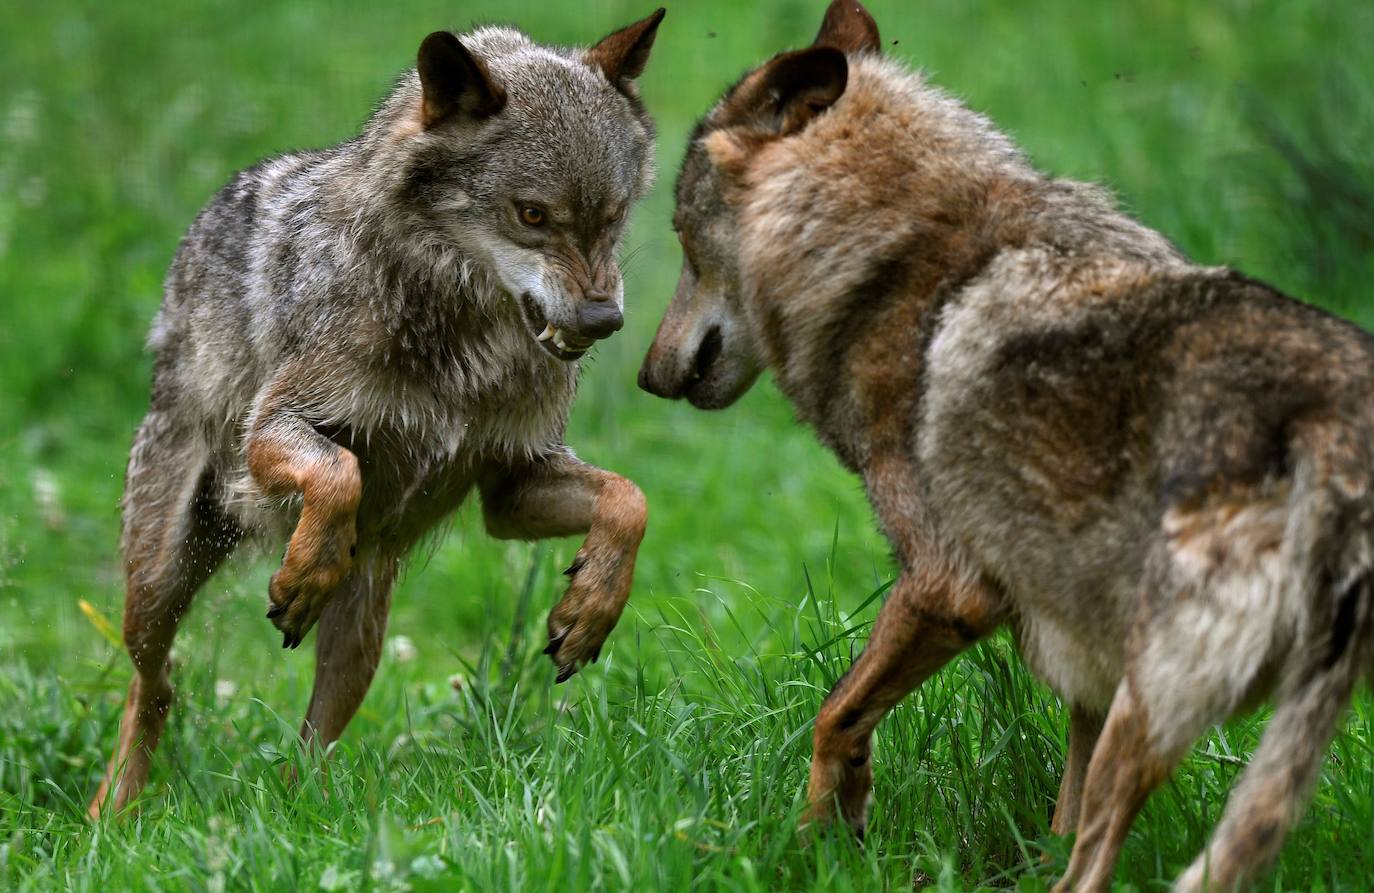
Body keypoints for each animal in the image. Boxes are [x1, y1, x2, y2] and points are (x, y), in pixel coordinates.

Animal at [87, 13, 665, 818]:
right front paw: (303, 571)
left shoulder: (512, 484)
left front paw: (590, 608)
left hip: (362, 628)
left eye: (612, 217)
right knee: (156, 684)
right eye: (531, 215)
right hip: (157, 582)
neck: (468, 347)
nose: (604, 319)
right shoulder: (272, 429)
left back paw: (300, 815)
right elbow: (339, 472)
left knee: (308, 743)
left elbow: (630, 500)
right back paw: (113, 812)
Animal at [640, 3, 1374, 884]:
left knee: (1097, 865)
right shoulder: (1084, 660)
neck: (893, 259)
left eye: (682, 239)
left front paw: (818, 849)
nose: (645, 376)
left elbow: (833, 714)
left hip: (1154, 701)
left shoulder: (946, 584)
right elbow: (1060, 806)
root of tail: (1332, 422)